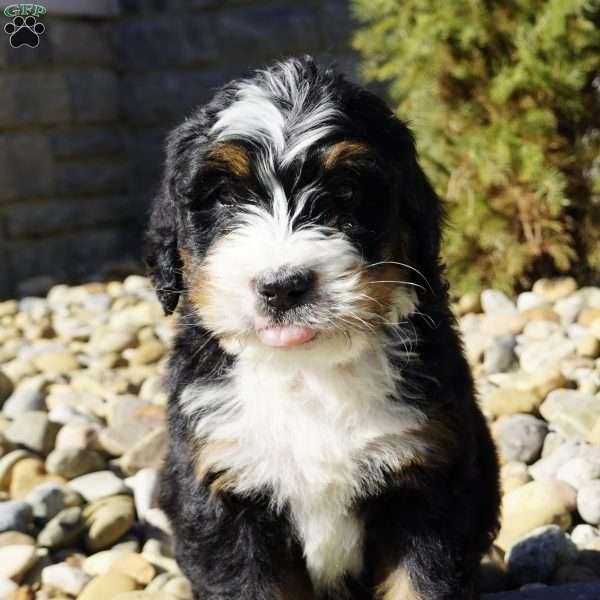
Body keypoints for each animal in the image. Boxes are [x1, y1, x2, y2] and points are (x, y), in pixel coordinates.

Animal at [146, 57, 502, 600]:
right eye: (225, 198)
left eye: (346, 193)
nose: (281, 286)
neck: (306, 372)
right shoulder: (223, 490)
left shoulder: (429, 477)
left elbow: (421, 581)